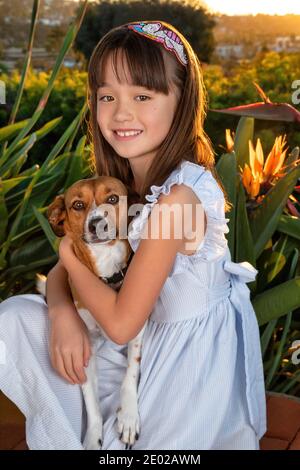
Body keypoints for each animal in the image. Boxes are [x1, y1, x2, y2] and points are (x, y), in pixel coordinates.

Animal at [36, 174, 146, 450]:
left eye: (113, 199)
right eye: (77, 205)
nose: (98, 224)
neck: (106, 267)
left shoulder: (136, 328)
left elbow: (130, 373)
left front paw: (128, 417)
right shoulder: (85, 348)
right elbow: (91, 402)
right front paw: (93, 436)